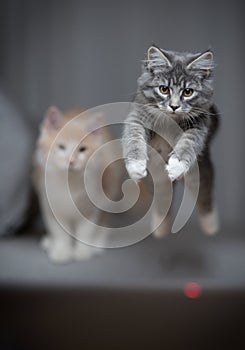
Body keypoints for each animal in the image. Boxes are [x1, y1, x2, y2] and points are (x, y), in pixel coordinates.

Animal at [33, 106, 121, 262]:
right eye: (61, 147)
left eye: (82, 150)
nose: (72, 161)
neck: (70, 183)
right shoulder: (51, 205)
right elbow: (59, 233)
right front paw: (61, 251)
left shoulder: (91, 208)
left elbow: (85, 232)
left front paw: (82, 252)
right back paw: (50, 243)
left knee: (104, 223)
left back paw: (97, 244)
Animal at [123, 45, 219, 237]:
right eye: (164, 89)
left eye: (188, 92)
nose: (174, 106)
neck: (170, 119)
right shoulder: (137, 118)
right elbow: (134, 140)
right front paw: (136, 166)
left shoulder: (198, 127)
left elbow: (187, 144)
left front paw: (176, 165)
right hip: (157, 179)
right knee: (163, 202)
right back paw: (160, 229)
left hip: (200, 174)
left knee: (204, 197)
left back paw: (210, 225)